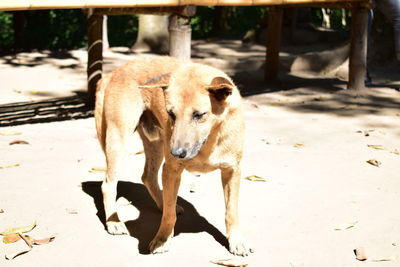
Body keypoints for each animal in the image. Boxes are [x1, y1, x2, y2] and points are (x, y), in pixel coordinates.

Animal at [95, 55, 252, 256]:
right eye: (171, 113)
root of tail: (114, 72)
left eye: (199, 115)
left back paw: (161, 203)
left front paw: (237, 241)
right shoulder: (172, 169)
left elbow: (231, 211)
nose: (176, 153)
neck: (208, 142)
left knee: (148, 177)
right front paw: (162, 239)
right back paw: (114, 221)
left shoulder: (232, 171)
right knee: (108, 184)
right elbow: (168, 216)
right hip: (119, 141)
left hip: (156, 144)